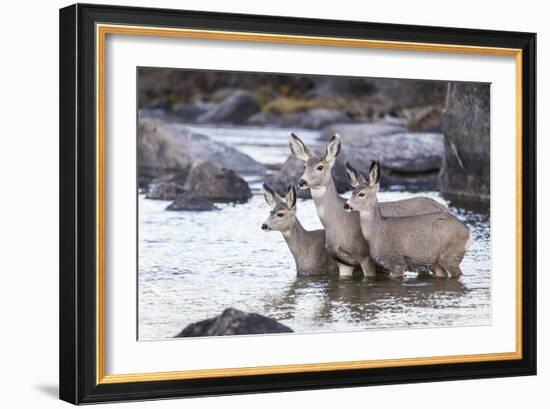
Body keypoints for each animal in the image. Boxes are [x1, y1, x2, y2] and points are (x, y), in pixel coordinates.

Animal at [288, 131, 448, 278]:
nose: (301, 182)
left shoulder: (364, 255)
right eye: (304, 165)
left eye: (320, 167)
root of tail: (445, 208)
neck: (336, 221)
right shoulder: (343, 261)